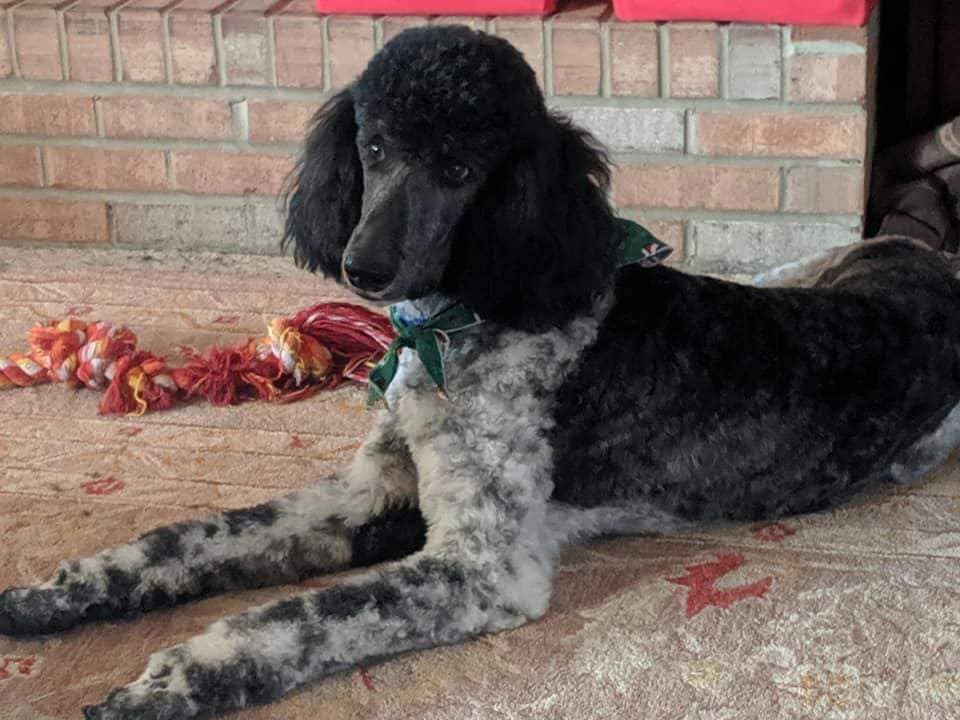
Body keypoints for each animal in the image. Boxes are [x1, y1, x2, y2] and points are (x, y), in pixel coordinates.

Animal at [4, 25, 960, 720]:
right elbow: (193, 539)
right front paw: (55, 598)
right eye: (373, 146)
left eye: (461, 168)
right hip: (795, 269)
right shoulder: (371, 488)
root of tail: (927, 265)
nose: (362, 268)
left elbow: (302, 614)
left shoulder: (482, 564)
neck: (459, 327)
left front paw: (173, 677)